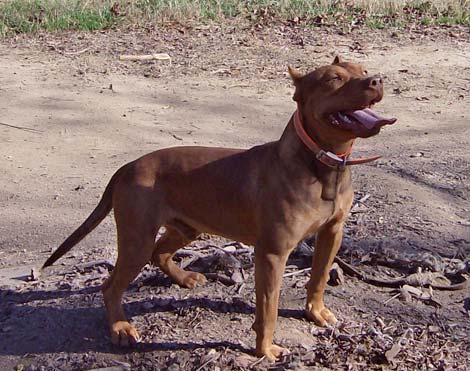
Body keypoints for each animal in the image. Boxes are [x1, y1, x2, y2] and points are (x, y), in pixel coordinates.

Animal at [44, 57, 396, 360]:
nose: (378, 79)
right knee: (111, 286)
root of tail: (128, 166)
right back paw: (120, 328)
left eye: (363, 70)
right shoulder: (272, 254)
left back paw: (184, 278)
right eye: (334, 79)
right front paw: (265, 350)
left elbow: (319, 278)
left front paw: (316, 313)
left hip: (185, 228)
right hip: (136, 241)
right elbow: (268, 310)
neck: (324, 164)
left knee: (160, 253)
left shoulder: (331, 233)